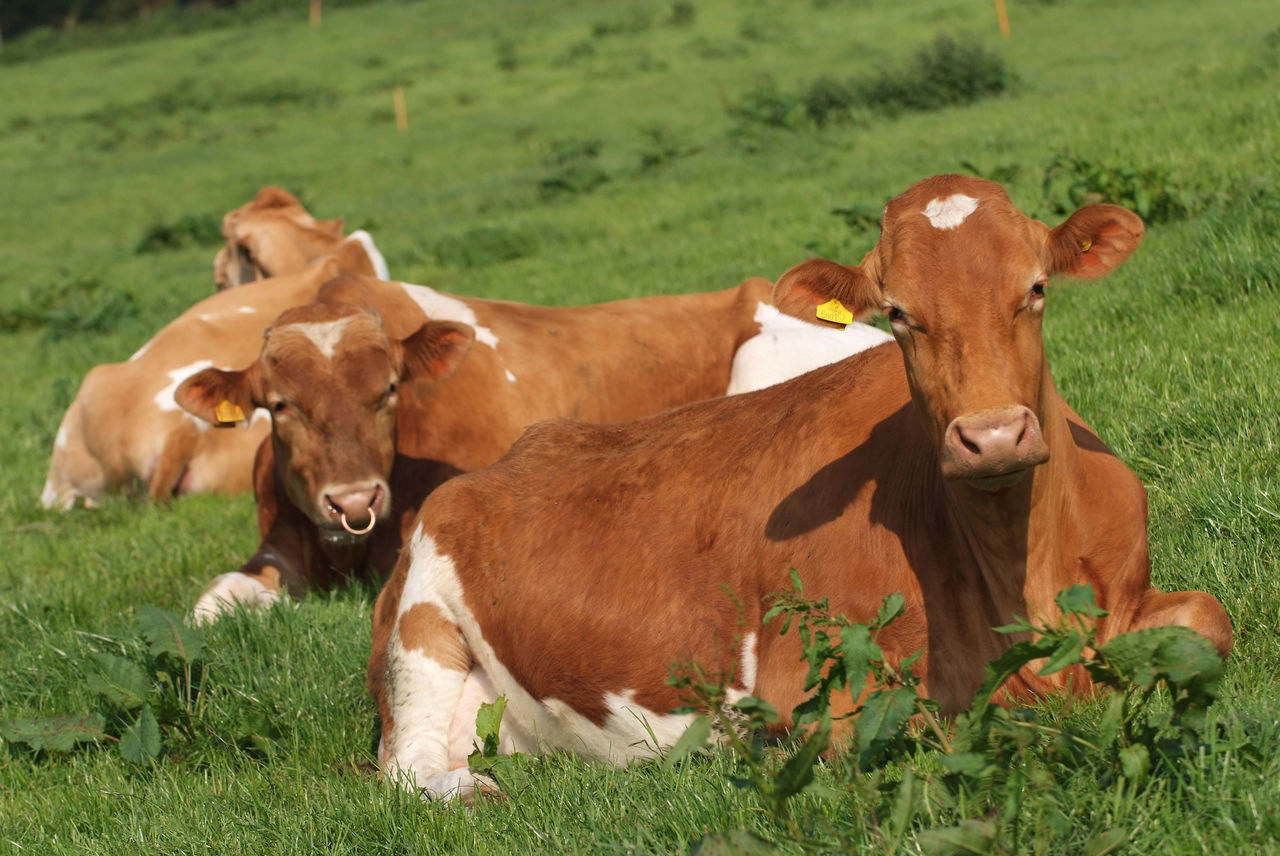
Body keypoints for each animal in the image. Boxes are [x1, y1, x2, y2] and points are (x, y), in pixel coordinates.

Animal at [368, 174, 1228, 803]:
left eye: (1038, 287)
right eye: (899, 313)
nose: (991, 436)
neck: (1024, 577)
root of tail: (517, 452)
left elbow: (1206, 623)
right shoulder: (812, 693)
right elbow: (951, 725)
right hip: (420, 626)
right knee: (408, 766)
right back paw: (472, 789)